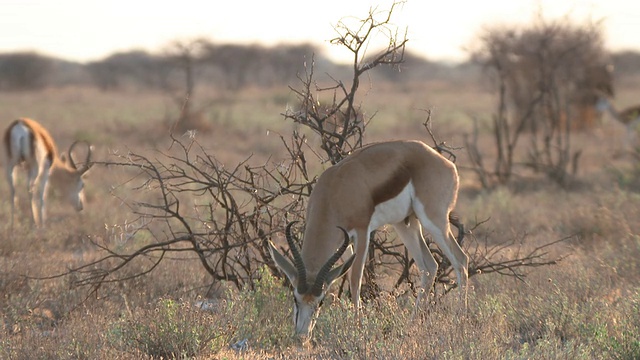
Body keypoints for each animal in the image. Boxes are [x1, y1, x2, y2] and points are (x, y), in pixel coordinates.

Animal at [268, 139, 468, 338]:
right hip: (405, 223)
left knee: (460, 260)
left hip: (434, 220)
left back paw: (459, 323)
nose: (301, 336)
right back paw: (409, 327)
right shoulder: (345, 240)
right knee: (429, 267)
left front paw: (356, 329)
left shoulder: (362, 232)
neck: (335, 190)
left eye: (320, 301)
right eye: (295, 298)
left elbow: (355, 279)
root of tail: (446, 163)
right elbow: (347, 273)